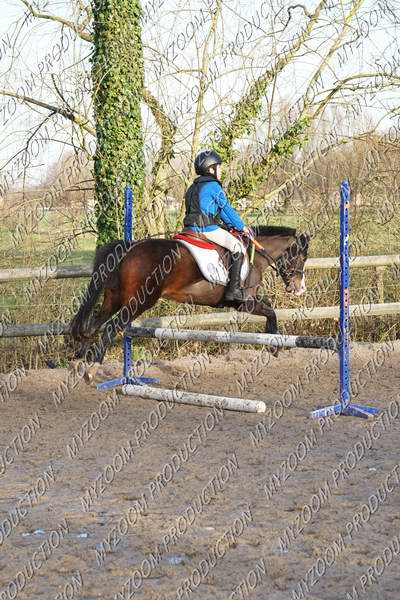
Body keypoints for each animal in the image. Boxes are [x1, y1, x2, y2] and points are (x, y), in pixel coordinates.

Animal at [68, 226, 309, 380]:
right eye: (302, 257)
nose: (300, 289)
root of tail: (129, 248)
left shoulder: (247, 301)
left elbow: (269, 307)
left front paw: (271, 341)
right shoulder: (244, 302)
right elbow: (271, 311)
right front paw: (274, 345)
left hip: (114, 298)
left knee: (92, 325)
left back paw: (79, 361)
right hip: (139, 302)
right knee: (110, 327)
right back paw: (93, 367)